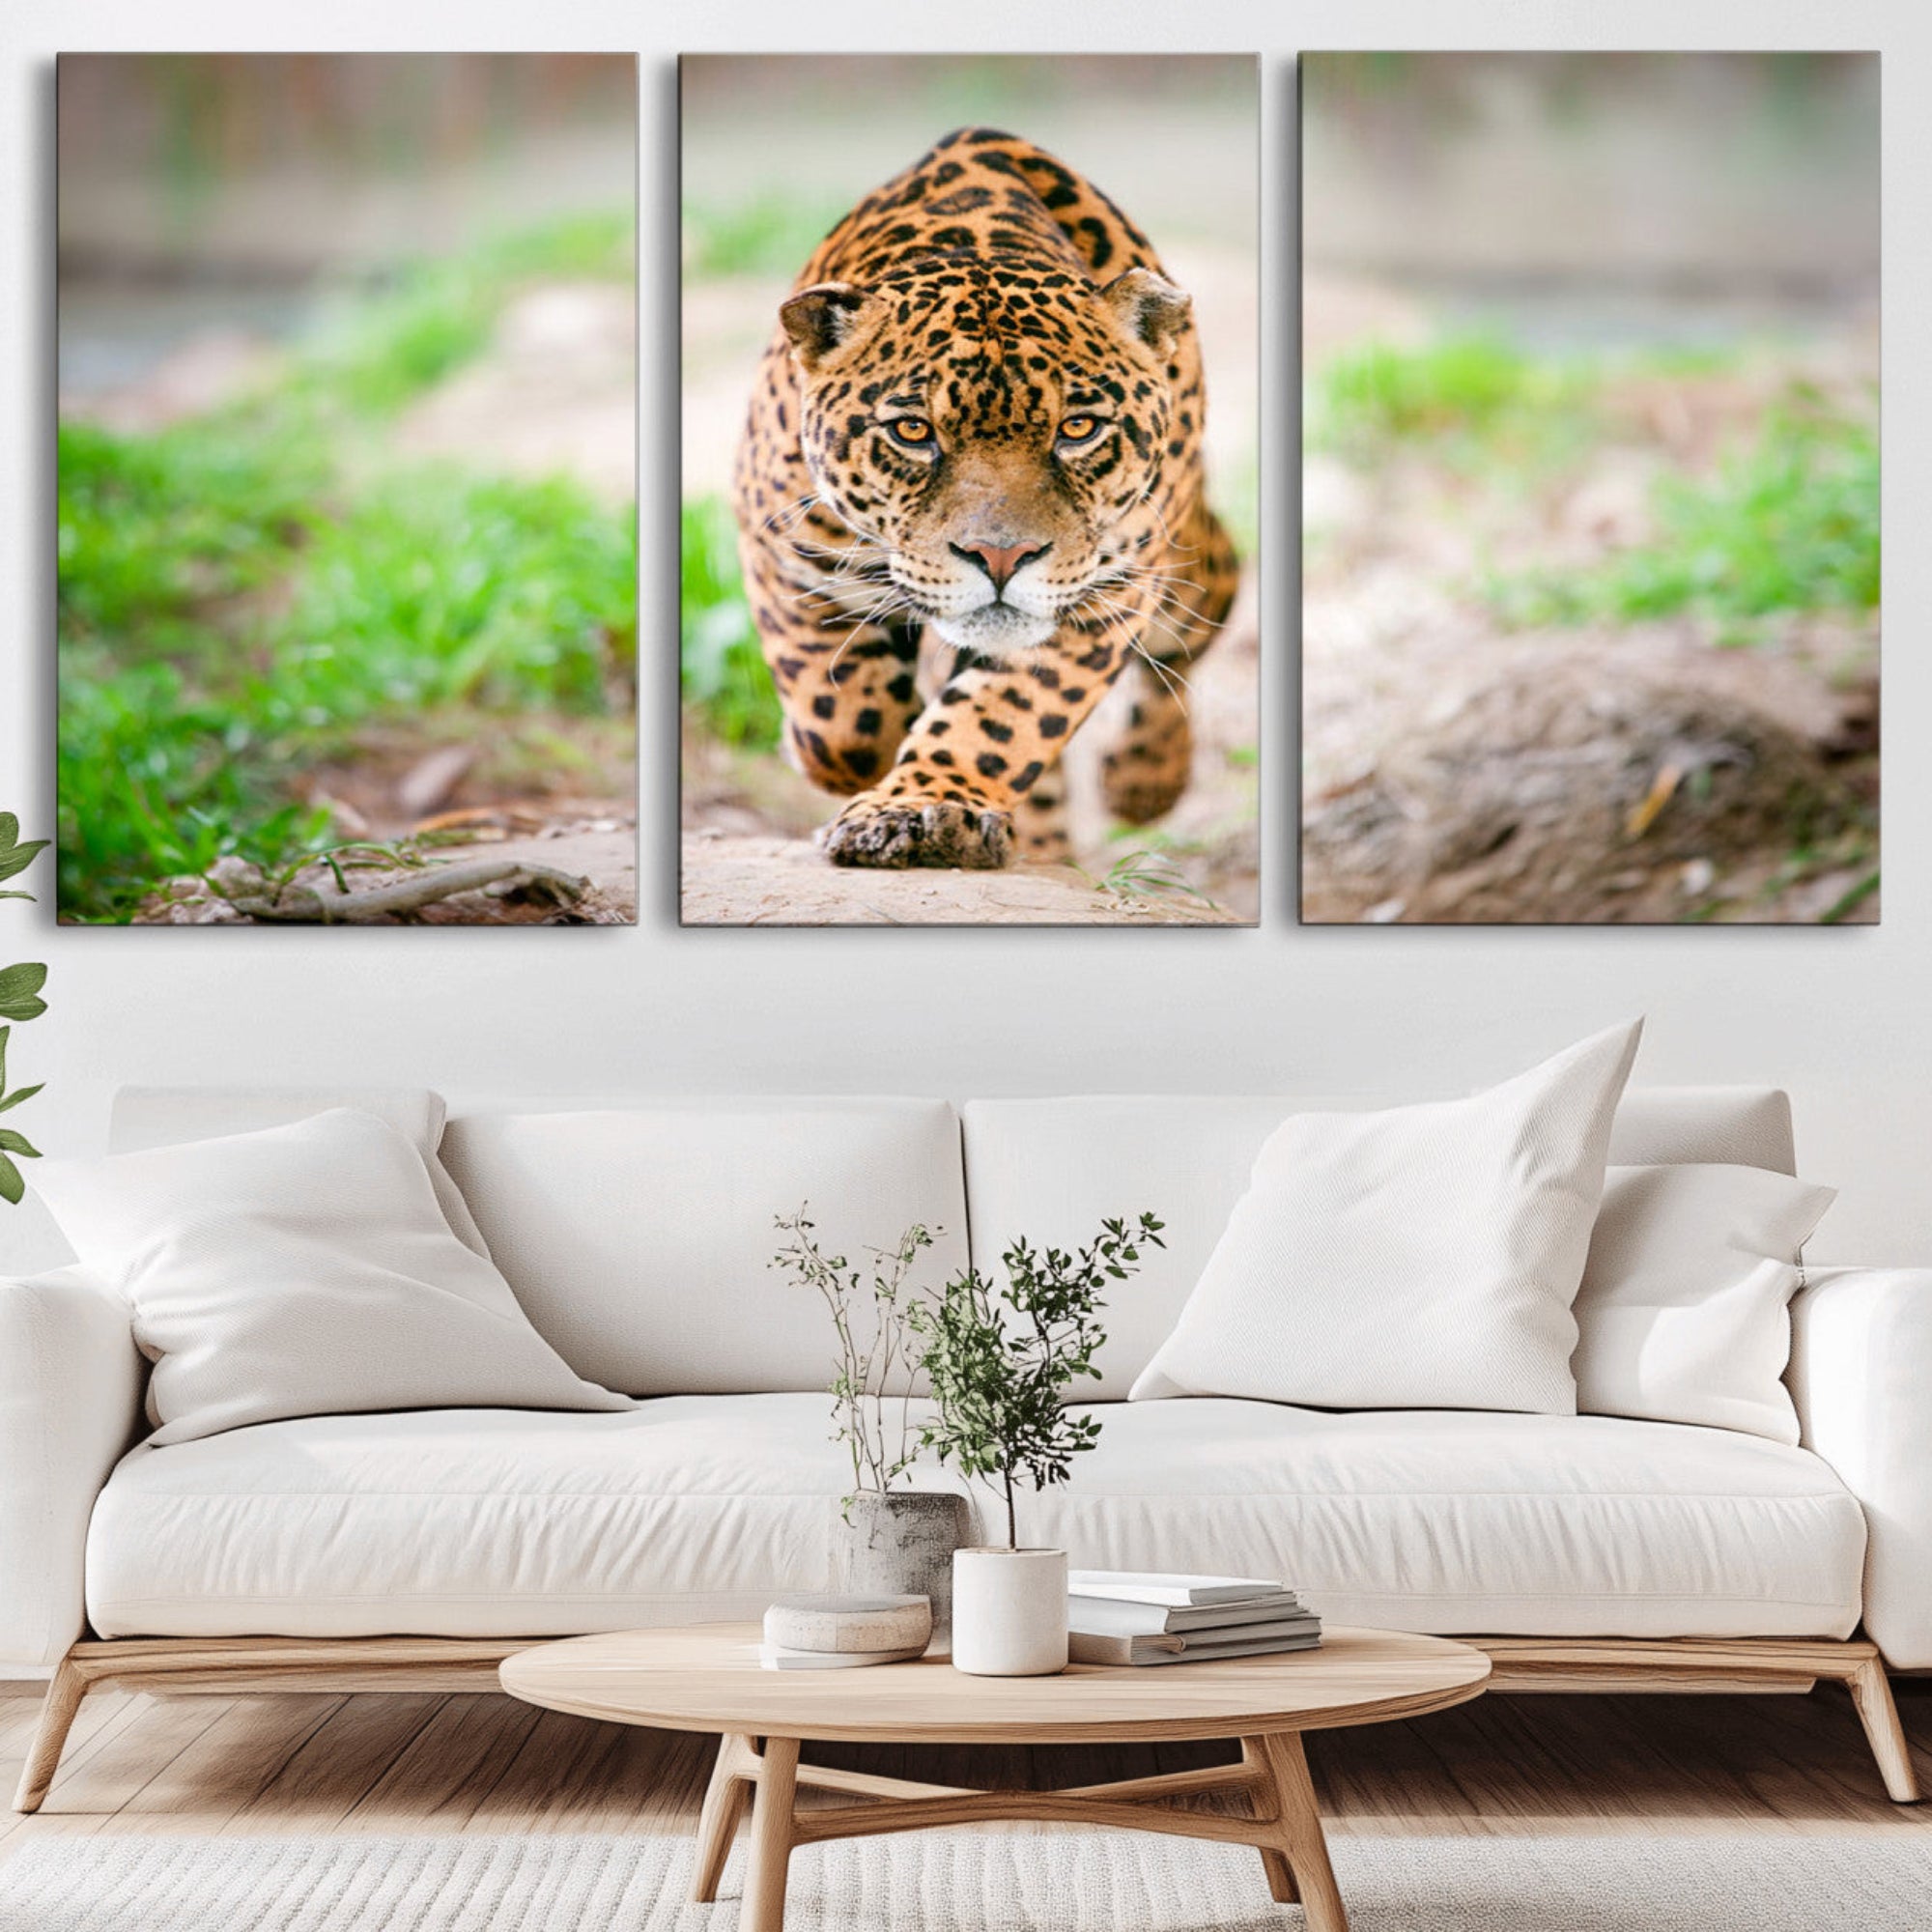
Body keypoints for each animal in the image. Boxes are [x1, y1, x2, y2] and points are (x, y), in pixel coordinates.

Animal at [730, 127, 1241, 870]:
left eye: (1078, 428)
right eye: (913, 431)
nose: (1001, 558)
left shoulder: (1103, 598)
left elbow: (1003, 717)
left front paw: (921, 807)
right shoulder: (785, 551)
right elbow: (840, 720)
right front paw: (863, 759)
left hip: (1179, 562)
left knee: (1198, 616)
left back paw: (1143, 780)